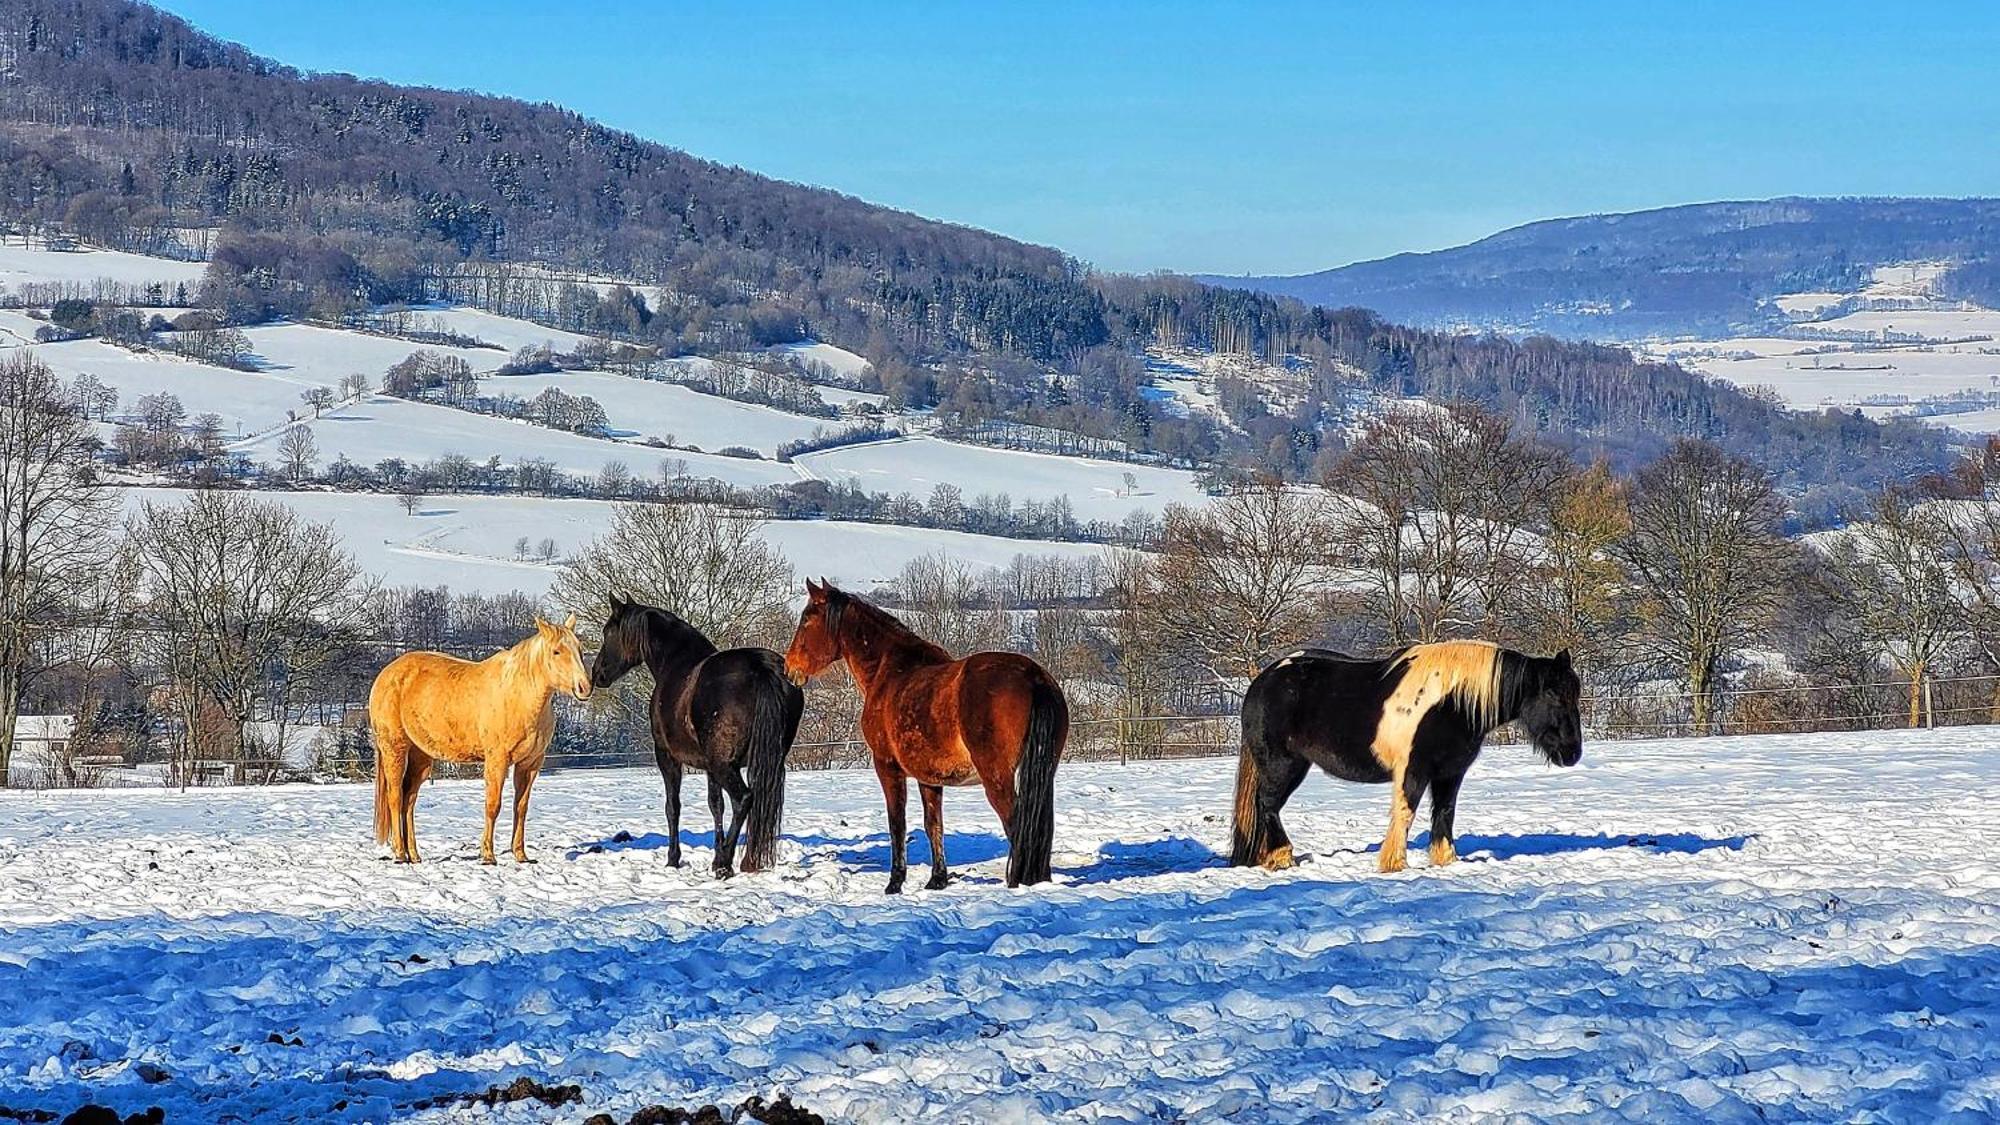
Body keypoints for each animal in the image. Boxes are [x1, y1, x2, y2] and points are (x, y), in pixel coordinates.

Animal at [368, 616, 588, 860]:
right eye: (556, 651)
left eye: (579, 649)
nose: (584, 687)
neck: (519, 695)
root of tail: (386, 675)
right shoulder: (497, 760)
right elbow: (493, 805)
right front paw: (488, 855)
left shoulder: (530, 763)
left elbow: (521, 807)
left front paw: (520, 855)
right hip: (394, 748)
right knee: (395, 797)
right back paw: (400, 853)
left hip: (421, 756)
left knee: (409, 799)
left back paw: (414, 855)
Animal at [588, 596, 808, 876]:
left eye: (608, 633)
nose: (598, 674)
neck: (675, 664)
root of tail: (761, 667)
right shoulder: (710, 766)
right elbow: (716, 805)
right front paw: (714, 854)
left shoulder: (668, 757)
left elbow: (673, 807)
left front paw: (674, 859)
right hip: (761, 761)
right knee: (757, 800)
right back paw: (746, 861)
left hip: (725, 765)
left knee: (743, 799)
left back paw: (725, 863)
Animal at [780, 576, 1072, 884]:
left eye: (807, 620)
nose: (790, 669)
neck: (889, 672)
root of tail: (1033, 677)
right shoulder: (929, 777)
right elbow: (933, 824)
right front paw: (937, 879)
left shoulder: (887, 766)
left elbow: (897, 823)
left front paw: (895, 881)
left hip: (997, 778)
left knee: (1017, 827)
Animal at [1224, 640, 1584, 868]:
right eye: (1554, 694)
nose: (1572, 753)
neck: (1451, 702)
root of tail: (1262, 681)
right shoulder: (1414, 770)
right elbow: (1406, 812)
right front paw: (1394, 863)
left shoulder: (1450, 773)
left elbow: (1445, 812)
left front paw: (1445, 860)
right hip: (1283, 765)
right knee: (1268, 805)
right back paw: (1281, 857)